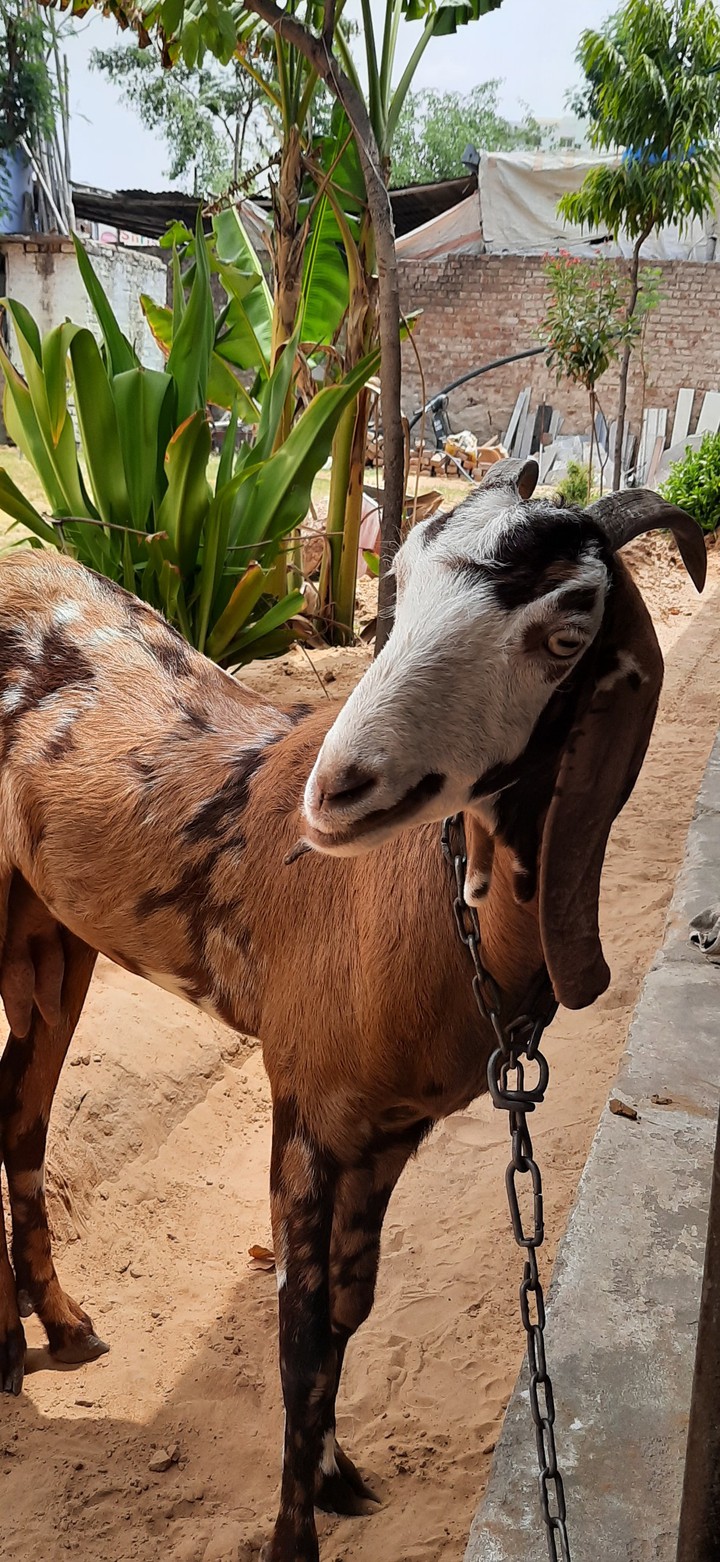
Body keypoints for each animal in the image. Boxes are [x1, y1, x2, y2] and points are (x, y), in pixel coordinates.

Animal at [0, 458, 705, 1562]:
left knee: (17, 1107)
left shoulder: (385, 1128)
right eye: (393, 595)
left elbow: (345, 1305)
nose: (335, 789)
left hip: (50, 928)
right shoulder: (309, 1106)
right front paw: (294, 1537)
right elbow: (297, 1327)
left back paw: (59, 1328)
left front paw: (336, 1476)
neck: (408, 907)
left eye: (565, 634)